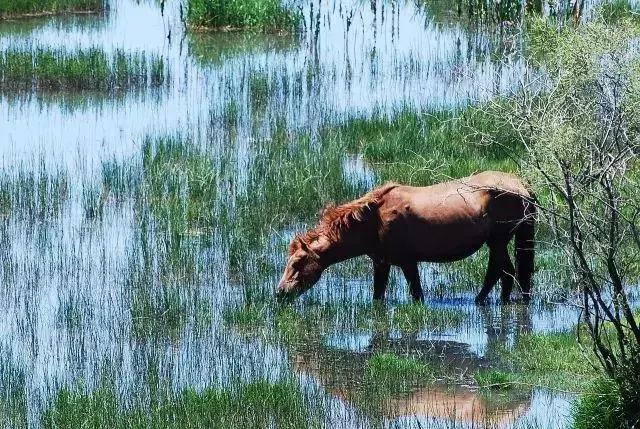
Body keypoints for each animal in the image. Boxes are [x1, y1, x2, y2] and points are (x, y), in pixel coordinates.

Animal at [276, 169, 536, 302]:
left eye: (298, 263)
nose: (280, 293)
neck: (374, 221)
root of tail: (522, 186)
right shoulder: (381, 263)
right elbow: (378, 296)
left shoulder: (408, 263)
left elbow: (417, 294)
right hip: (496, 243)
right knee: (502, 273)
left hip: (498, 242)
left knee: (504, 272)